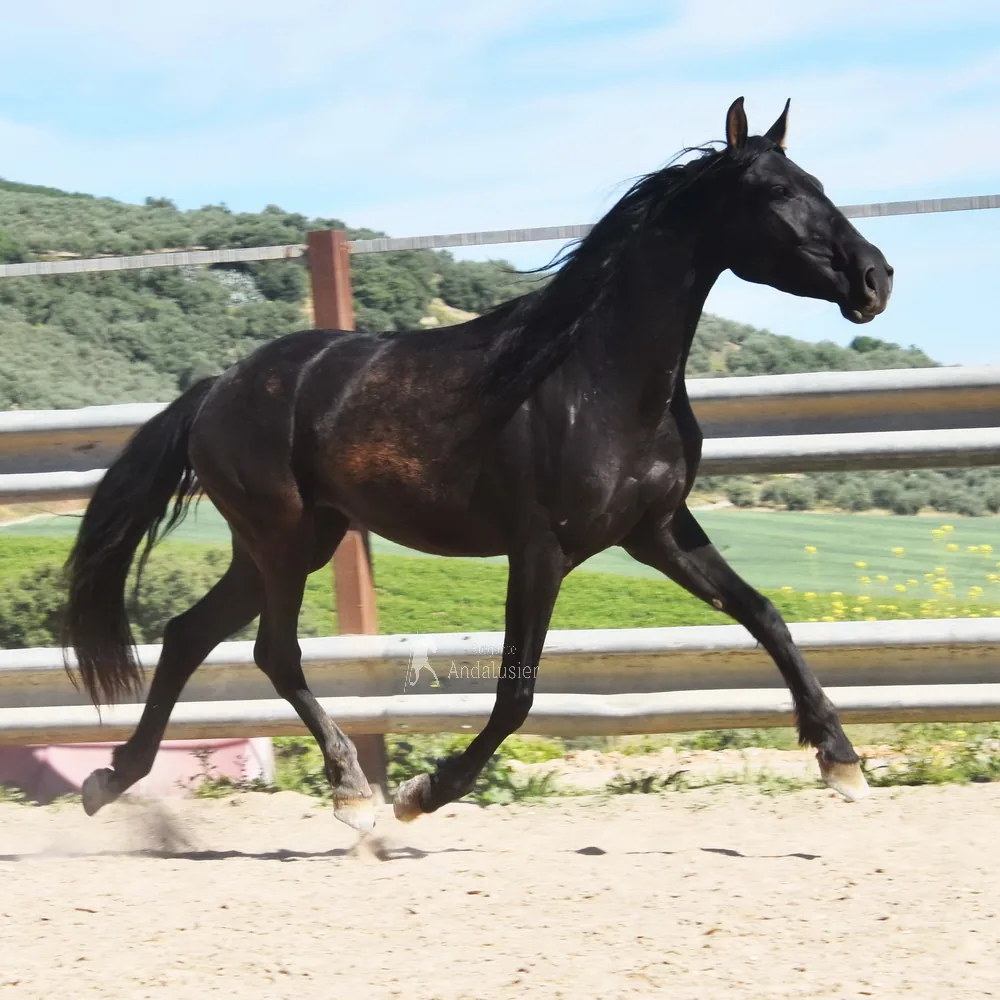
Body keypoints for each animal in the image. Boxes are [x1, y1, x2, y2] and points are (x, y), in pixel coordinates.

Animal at [63, 97, 893, 830]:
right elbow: (516, 693)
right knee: (274, 650)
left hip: (291, 542)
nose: (877, 278)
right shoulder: (541, 549)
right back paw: (353, 794)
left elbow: (765, 615)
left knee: (188, 636)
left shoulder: (657, 531)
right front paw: (423, 794)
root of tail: (215, 389)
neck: (596, 376)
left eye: (818, 182)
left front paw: (842, 759)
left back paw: (111, 779)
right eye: (780, 192)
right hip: (283, 539)